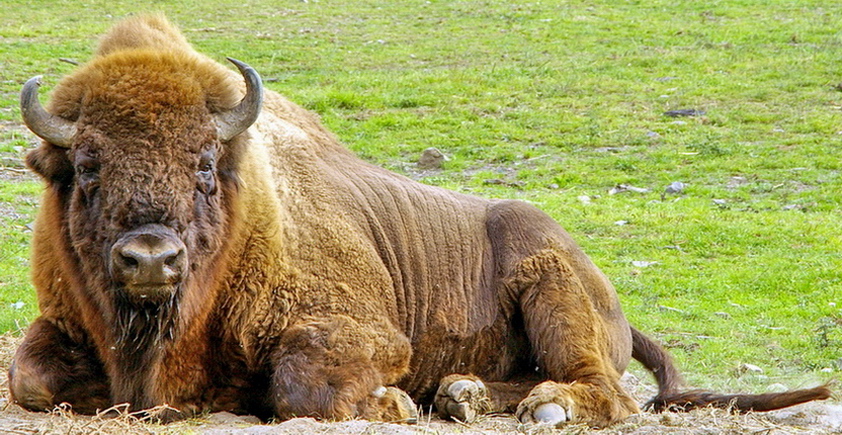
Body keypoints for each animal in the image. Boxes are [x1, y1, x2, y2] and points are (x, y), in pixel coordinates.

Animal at [9, 13, 832, 430]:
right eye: (86, 166)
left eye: (206, 164)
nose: (151, 257)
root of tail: (606, 289)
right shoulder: (63, 323)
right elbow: (27, 377)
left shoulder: (365, 331)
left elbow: (299, 384)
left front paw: (394, 402)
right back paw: (463, 397)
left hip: (554, 291)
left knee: (607, 390)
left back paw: (539, 406)